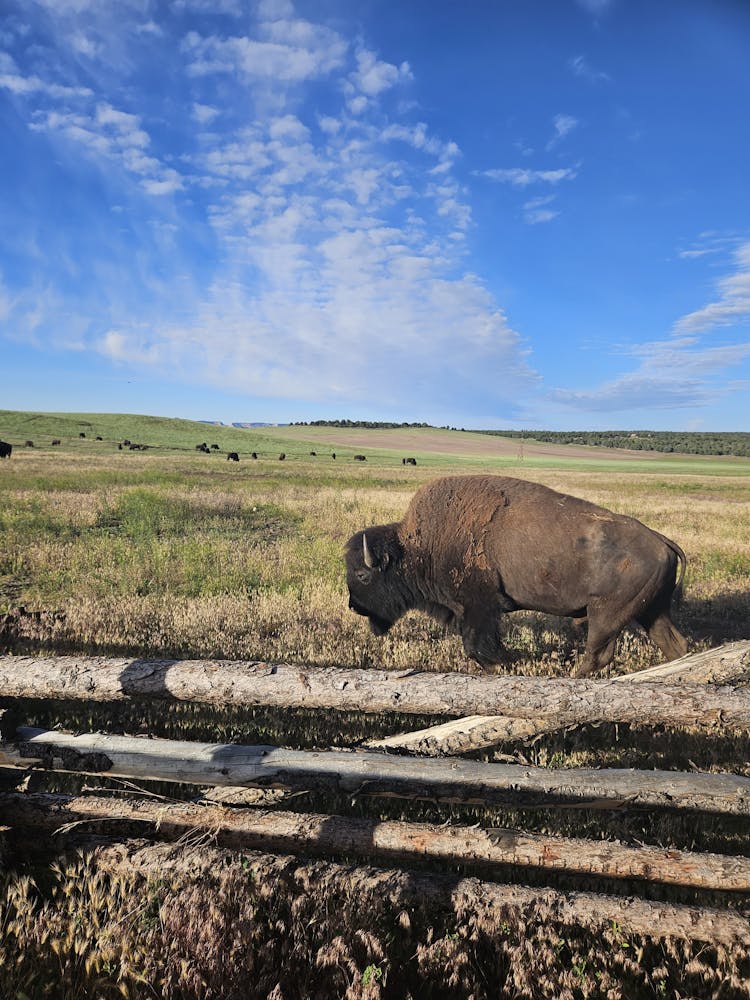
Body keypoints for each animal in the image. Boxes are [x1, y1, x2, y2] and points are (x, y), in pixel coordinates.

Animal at [346, 472, 688, 676]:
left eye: (362, 575)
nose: (354, 606)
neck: (416, 547)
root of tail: (661, 541)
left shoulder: (479, 606)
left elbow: (477, 645)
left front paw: (506, 663)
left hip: (606, 615)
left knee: (597, 653)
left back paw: (570, 676)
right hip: (651, 611)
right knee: (675, 645)